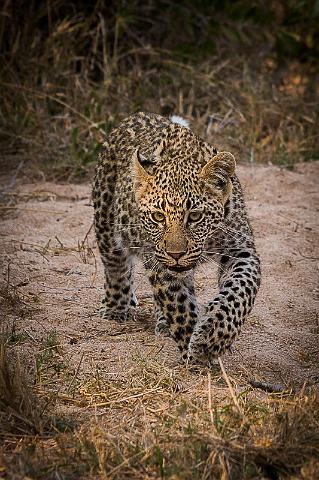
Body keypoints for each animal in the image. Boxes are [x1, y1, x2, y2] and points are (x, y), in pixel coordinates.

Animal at [91, 110, 262, 362]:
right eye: (158, 216)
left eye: (195, 216)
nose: (176, 255)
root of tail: (140, 114)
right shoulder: (158, 261)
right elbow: (178, 305)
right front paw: (197, 349)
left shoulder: (240, 249)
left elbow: (239, 291)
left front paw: (212, 336)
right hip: (106, 222)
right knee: (116, 267)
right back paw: (115, 308)